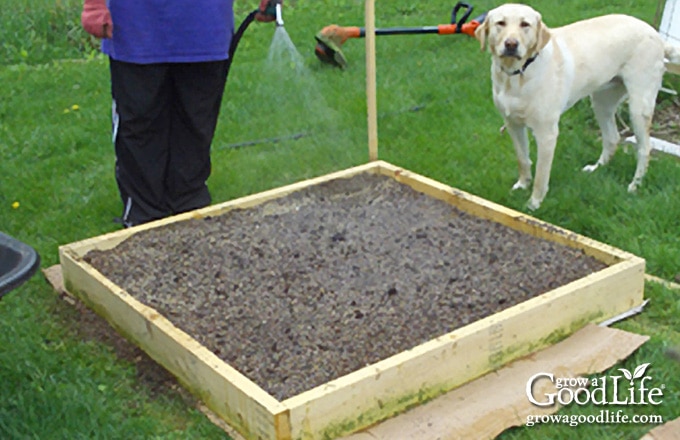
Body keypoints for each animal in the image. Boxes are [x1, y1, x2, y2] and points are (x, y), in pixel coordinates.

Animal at [476, 3, 676, 210]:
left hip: (639, 106)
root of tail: (657, 36)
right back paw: (596, 168)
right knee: (612, 138)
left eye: (525, 24)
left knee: (644, 148)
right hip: (601, 102)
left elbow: (541, 174)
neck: (517, 74)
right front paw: (522, 184)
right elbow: (522, 159)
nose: (511, 44)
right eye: (501, 23)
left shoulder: (547, 134)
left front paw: (534, 203)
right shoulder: (513, 124)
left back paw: (634, 185)